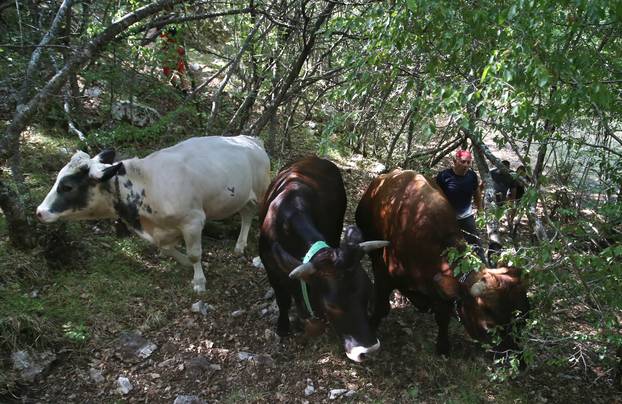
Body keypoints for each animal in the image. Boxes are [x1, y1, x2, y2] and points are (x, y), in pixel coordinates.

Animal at [36, 137, 270, 294]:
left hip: (261, 192)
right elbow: (167, 249)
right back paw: (239, 246)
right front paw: (185, 264)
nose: (39, 212)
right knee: (246, 214)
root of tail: (251, 139)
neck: (146, 185)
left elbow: (195, 254)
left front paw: (199, 282)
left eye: (67, 186)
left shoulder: (193, 220)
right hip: (244, 196)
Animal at [356, 169, 532, 358]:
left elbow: (443, 318)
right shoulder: (385, 276)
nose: (518, 359)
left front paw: (443, 346)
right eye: (489, 328)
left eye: (524, 321)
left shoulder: (441, 294)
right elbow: (382, 307)